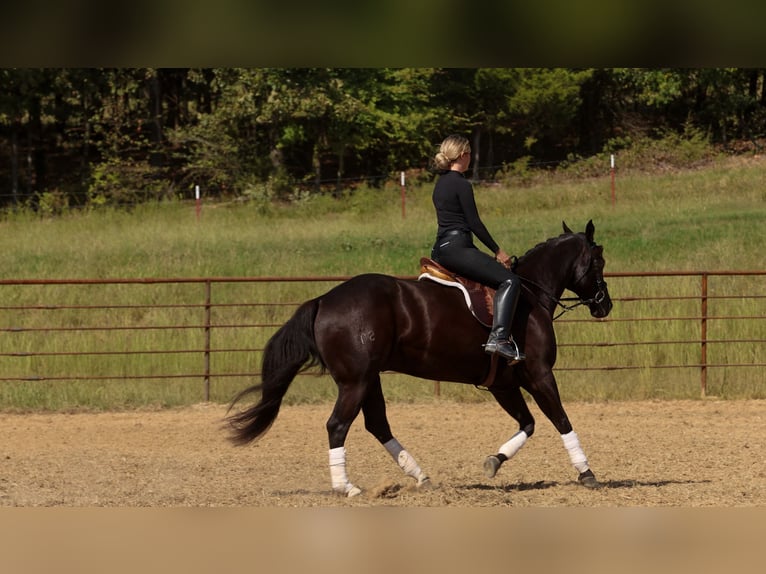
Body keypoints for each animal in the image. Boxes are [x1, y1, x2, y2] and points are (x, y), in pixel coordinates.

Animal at [227, 220, 613, 497]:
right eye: (599, 260)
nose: (605, 305)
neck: (529, 295)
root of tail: (324, 299)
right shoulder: (539, 373)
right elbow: (561, 420)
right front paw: (586, 472)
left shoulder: (503, 384)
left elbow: (528, 423)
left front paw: (494, 462)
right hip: (355, 382)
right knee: (337, 425)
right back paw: (346, 487)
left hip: (369, 380)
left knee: (377, 425)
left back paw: (421, 476)